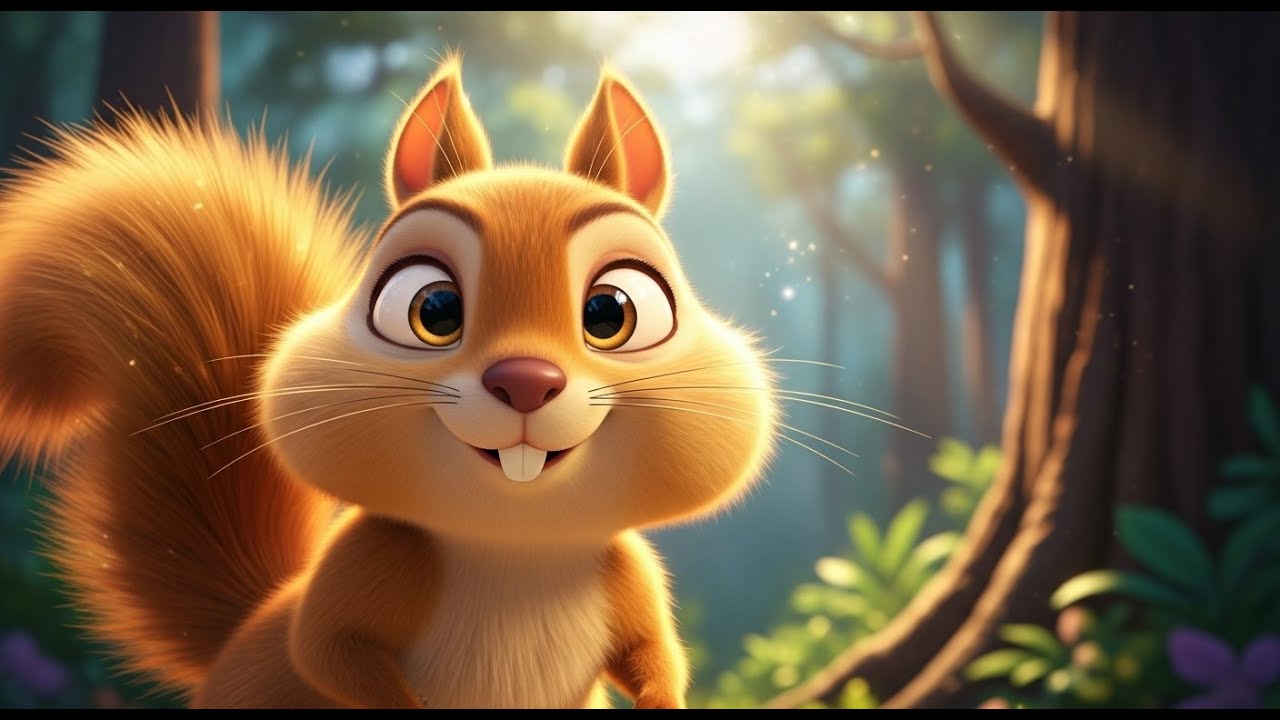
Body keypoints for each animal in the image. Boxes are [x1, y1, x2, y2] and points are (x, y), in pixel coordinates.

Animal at [0, 57, 778, 709]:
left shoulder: (629, 577)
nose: (526, 380)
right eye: (432, 309)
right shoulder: (370, 565)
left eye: (612, 312)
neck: (512, 542)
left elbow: (655, 657)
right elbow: (327, 650)